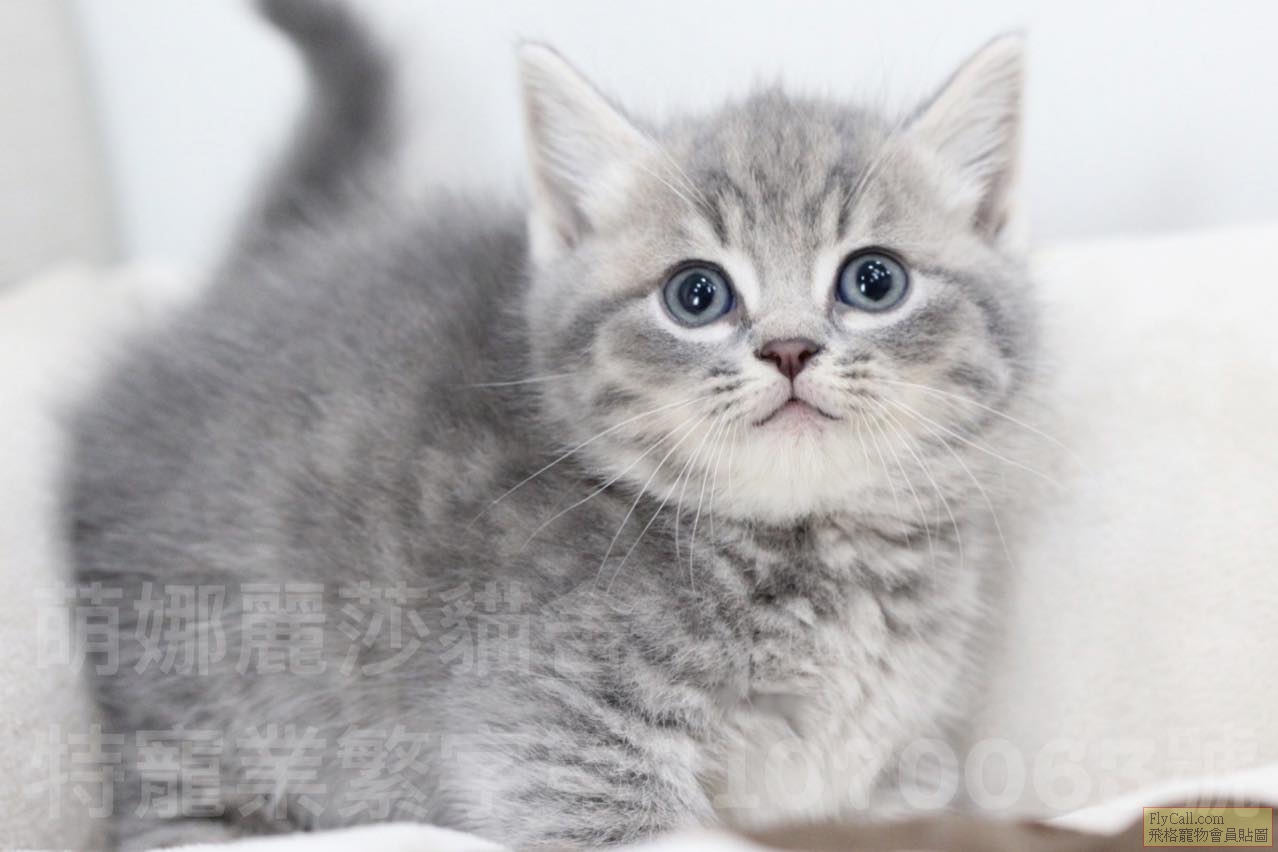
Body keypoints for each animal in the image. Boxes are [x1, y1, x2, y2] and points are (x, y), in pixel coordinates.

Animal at [66, 0, 1042, 848]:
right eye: (697, 294)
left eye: (874, 281)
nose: (791, 348)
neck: (815, 553)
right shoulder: (555, 739)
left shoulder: (887, 760)